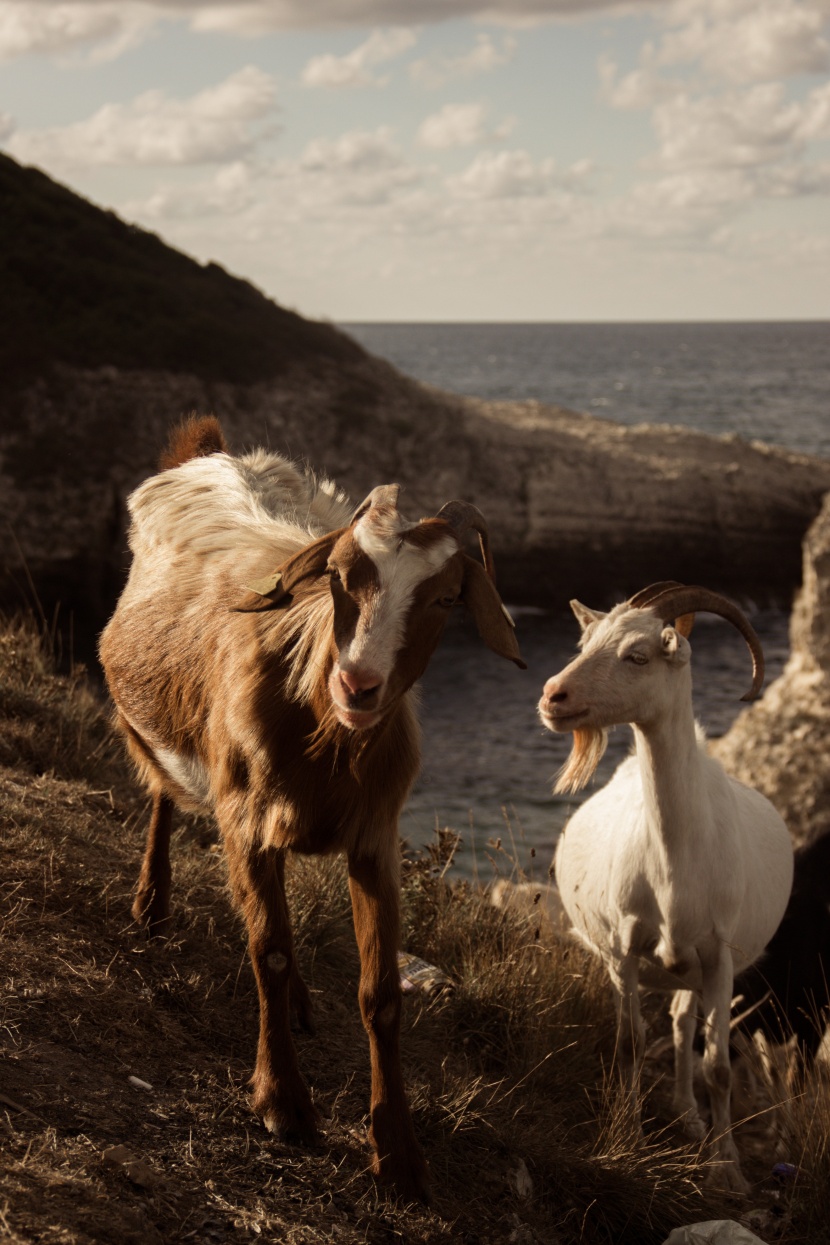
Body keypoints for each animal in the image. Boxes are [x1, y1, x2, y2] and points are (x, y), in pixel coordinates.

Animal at [98, 420, 525, 1205]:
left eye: (446, 598)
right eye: (339, 576)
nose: (359, 685)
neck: (324, 730)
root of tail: (210, 450)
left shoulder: (375, 838)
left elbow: (380, 993)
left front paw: (399, 1153)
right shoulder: (244, 818)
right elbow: (266, 949)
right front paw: (284, 1102)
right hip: (156, 729)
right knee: (163, 797)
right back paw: (151, 904)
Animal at [535, 580, 796, 1185]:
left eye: (638, 655)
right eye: (585, 642)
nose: (553, 696)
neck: (677, 864)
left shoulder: (721, 958)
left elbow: (718, 1065)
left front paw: (727, 1167)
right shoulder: (625, 948)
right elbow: (630, 1043)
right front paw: (626, 1136)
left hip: (696, 969)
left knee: (681, 1024)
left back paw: (690, 1115)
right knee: (662, 1023)